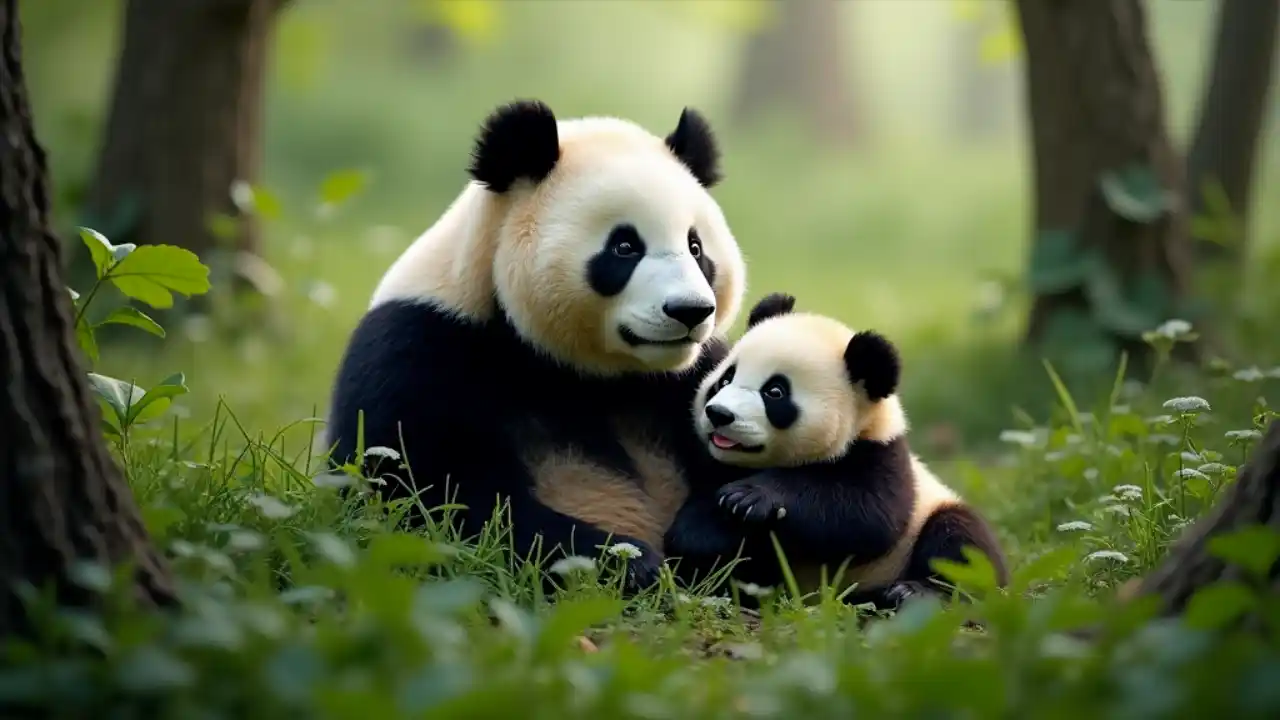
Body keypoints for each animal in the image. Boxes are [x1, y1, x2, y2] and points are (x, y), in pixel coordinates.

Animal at [325, 98, 747, 591]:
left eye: (696, 247)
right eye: (624, 247)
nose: (690, 310)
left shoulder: (696, 376)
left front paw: (712, 528)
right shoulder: (422, 346)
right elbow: (422, 492)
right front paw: (626, 561)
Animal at [660, 292, 1008, 604]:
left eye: (775, 392)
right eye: (724, 379)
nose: (718, 414)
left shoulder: (881, 456)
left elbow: (864, 516)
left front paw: (748, 499)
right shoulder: (716, 464)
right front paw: (704, 534)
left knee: (960, 544)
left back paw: (915, 592)